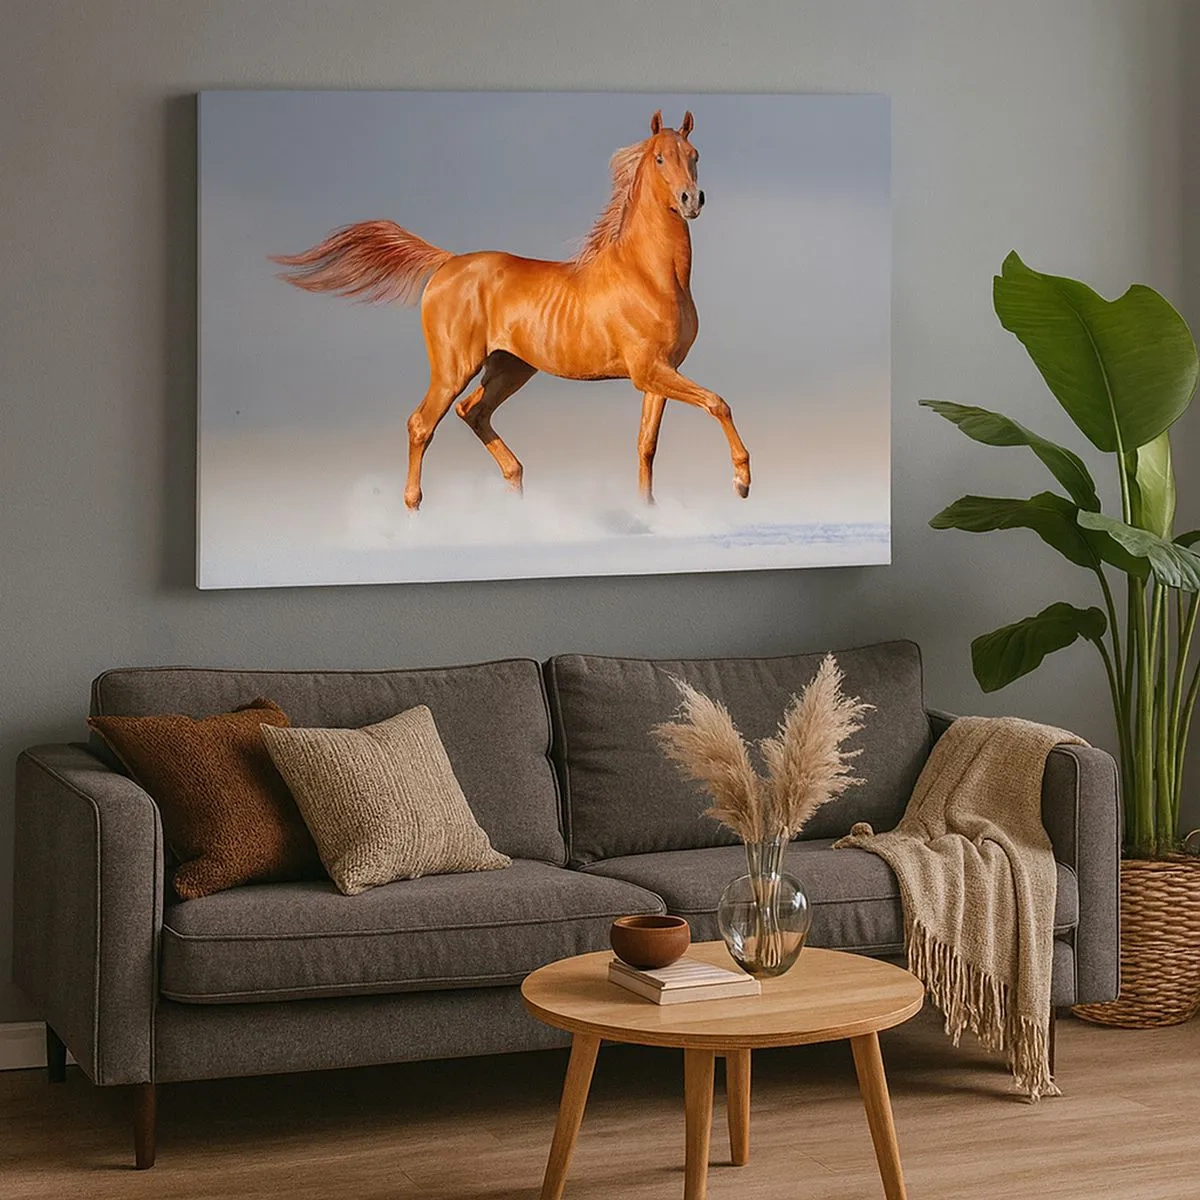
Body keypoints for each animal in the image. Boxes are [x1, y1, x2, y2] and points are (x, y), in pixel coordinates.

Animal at [272, 110, 750, 511]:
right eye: (659, 158)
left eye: (694, 155)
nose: (691, 200)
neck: (650, 273)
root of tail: (447, 263)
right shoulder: (648, 370)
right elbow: (718, 403)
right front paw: (742, 481)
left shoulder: (660, 373)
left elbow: (646, 445)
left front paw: (648, 510)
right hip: (455, 367)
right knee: (422, 424)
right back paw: (415, 508)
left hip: (509, 368)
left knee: (473, 412)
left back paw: (515, 487)